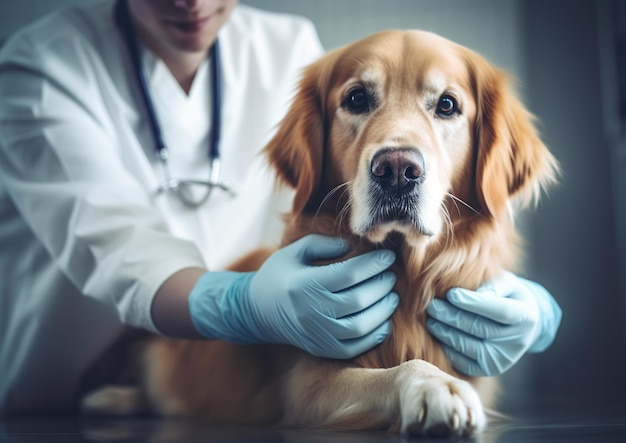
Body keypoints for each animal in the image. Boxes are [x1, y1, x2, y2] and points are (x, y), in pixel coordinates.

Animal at [83, 29, 556, 438]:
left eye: (446, 105)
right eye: (356, 98)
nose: (397, 170)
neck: (406, 274)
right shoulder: (306, 386)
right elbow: (397, 371)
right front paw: (434, 386)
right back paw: (109, 398)